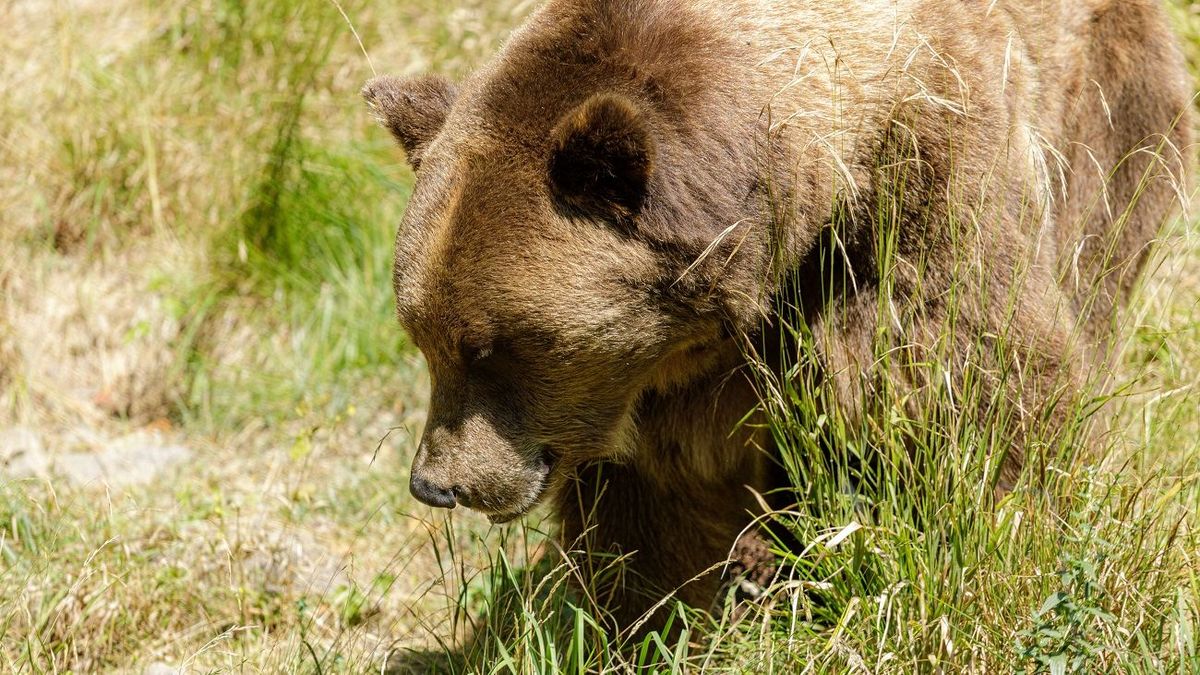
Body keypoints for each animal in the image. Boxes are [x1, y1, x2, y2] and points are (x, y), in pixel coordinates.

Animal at [363, 0, 1192, 631]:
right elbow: (658, 499)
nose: (436, 483)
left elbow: (966, 384)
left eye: (490, 346)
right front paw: (652, 615)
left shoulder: (924, 183)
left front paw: (979, 536)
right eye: (422, 336)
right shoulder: (668, 368)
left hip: (1107, 122)